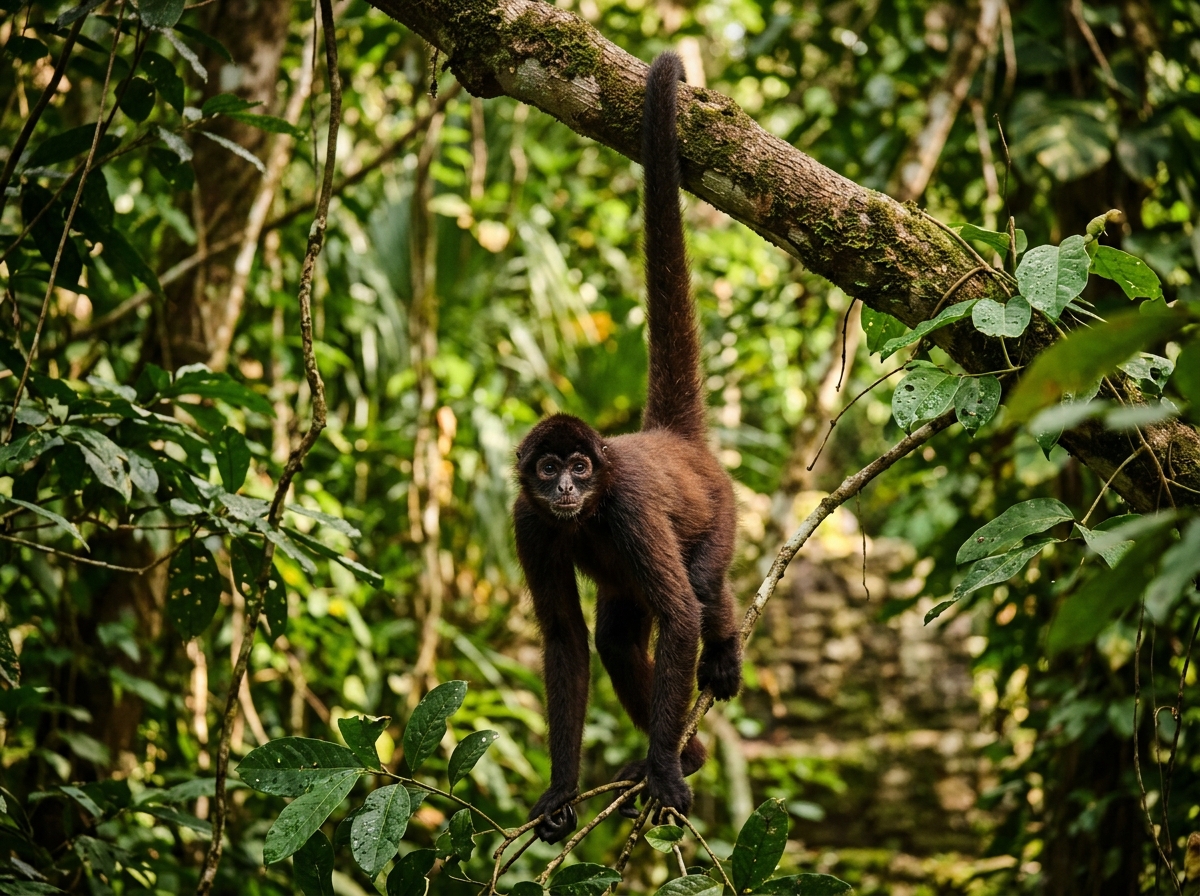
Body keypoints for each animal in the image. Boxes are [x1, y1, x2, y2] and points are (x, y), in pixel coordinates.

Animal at [513, 51, 742, 844]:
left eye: (582, 469)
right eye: (549, 469)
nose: (566, 488)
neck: (585, 517)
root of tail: (671, 437)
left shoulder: (630, 509)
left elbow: (680, 617)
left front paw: (665, 774)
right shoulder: (526, 524)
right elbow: (566, 641)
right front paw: (561, 790)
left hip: (720, 513)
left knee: (700, 591)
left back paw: (715, 670)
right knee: (616, 637)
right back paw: (690, 748)